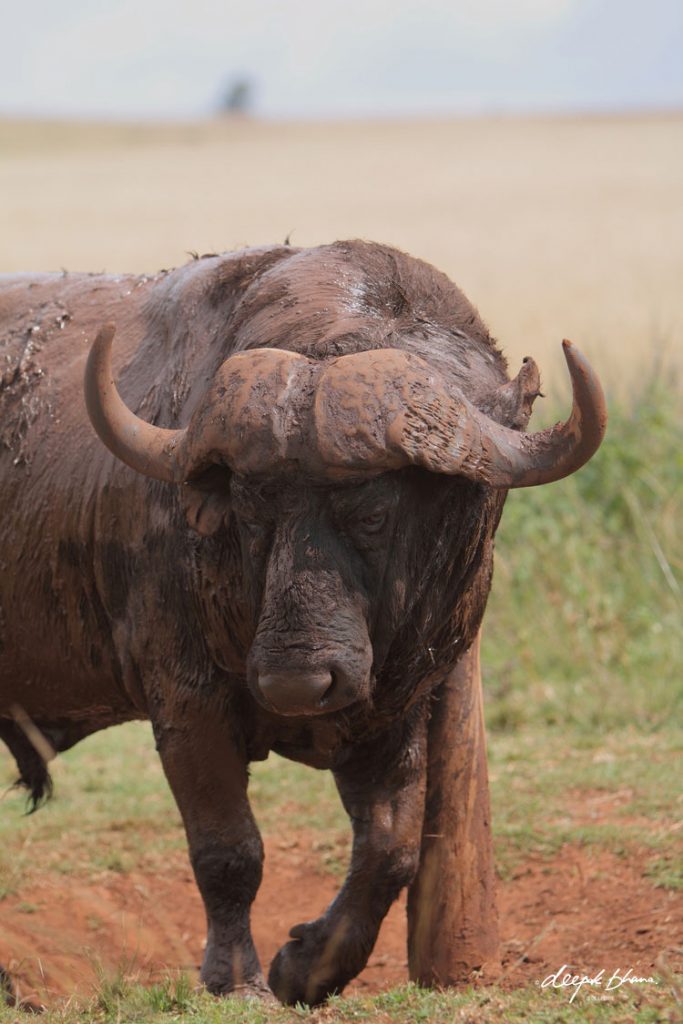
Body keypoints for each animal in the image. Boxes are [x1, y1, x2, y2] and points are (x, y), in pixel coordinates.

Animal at [0, 239, 606, 999]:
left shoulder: (400, 703)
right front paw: (238, 979)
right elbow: (229, 850)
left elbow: (390, 849)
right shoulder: (186, 703)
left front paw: (307, 965)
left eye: (374, 511)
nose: (296, 683)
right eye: (251, 507)